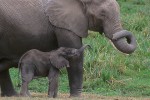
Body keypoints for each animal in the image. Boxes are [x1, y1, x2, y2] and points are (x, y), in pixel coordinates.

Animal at [0, 0, 136, 97]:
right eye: (102, 14)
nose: (116, 35)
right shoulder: (65, 25)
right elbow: (76, 59)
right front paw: (76, 97)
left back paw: (13, 96)